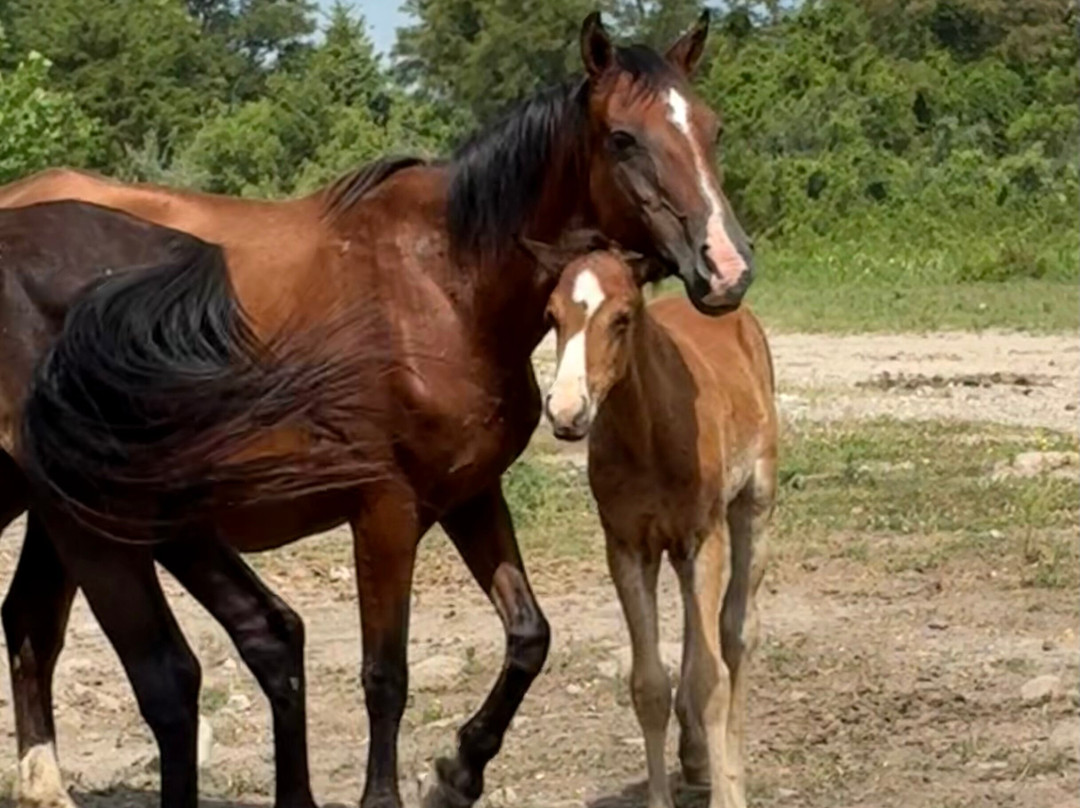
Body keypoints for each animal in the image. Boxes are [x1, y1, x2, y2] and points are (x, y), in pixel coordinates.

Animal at [533, 245, 776, 808]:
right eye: (552, 316)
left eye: (622, 318)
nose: (566, 411)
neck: (650, 436)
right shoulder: (626, 547)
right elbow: (647, 685)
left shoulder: (705, 537)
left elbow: (713, 677)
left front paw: (727, 795)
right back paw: (696, 757)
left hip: (752, 505)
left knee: (736, 633)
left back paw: (730, 772)